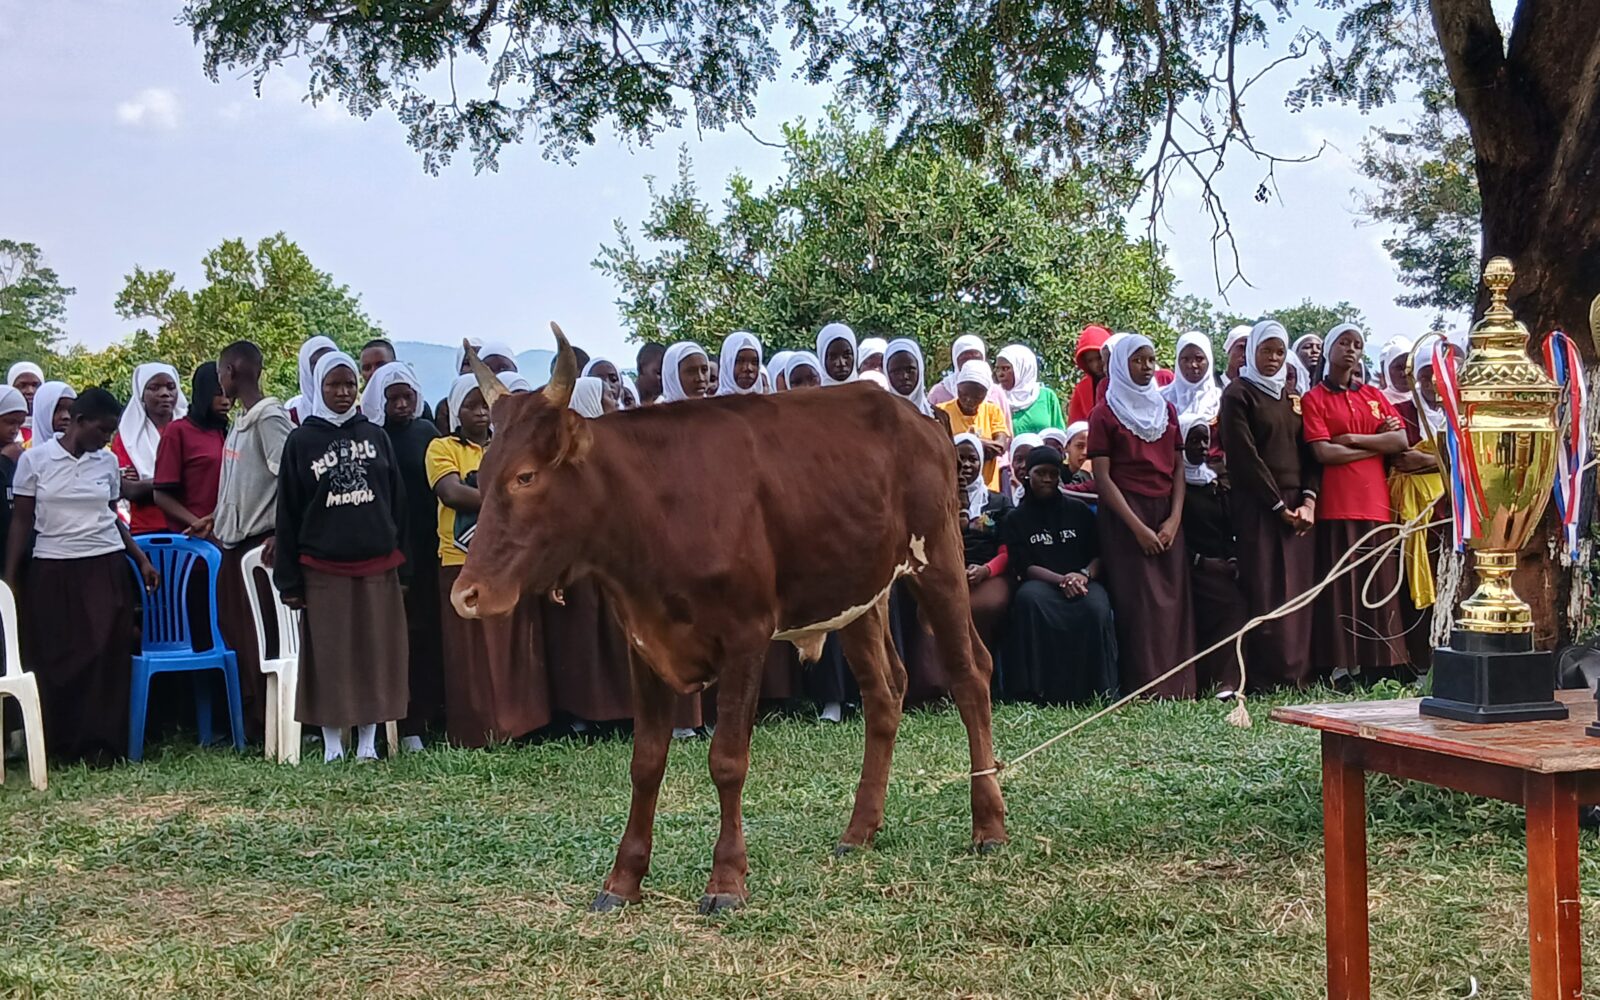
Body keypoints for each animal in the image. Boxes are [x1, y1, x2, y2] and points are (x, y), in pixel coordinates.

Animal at [451, 327, 1007, 914]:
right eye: (483, 477)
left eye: (526, 476)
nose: (467, 594)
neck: (652, 510)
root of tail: (917, 417)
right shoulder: (642, 643)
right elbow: (646, 762)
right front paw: (623, 879)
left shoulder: (746, 636)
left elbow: (727, 760)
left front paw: (726, 880)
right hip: (856, 593)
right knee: (886, 690)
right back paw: (859, 831)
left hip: (938, 559)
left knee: (970, 673)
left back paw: (988, 825)